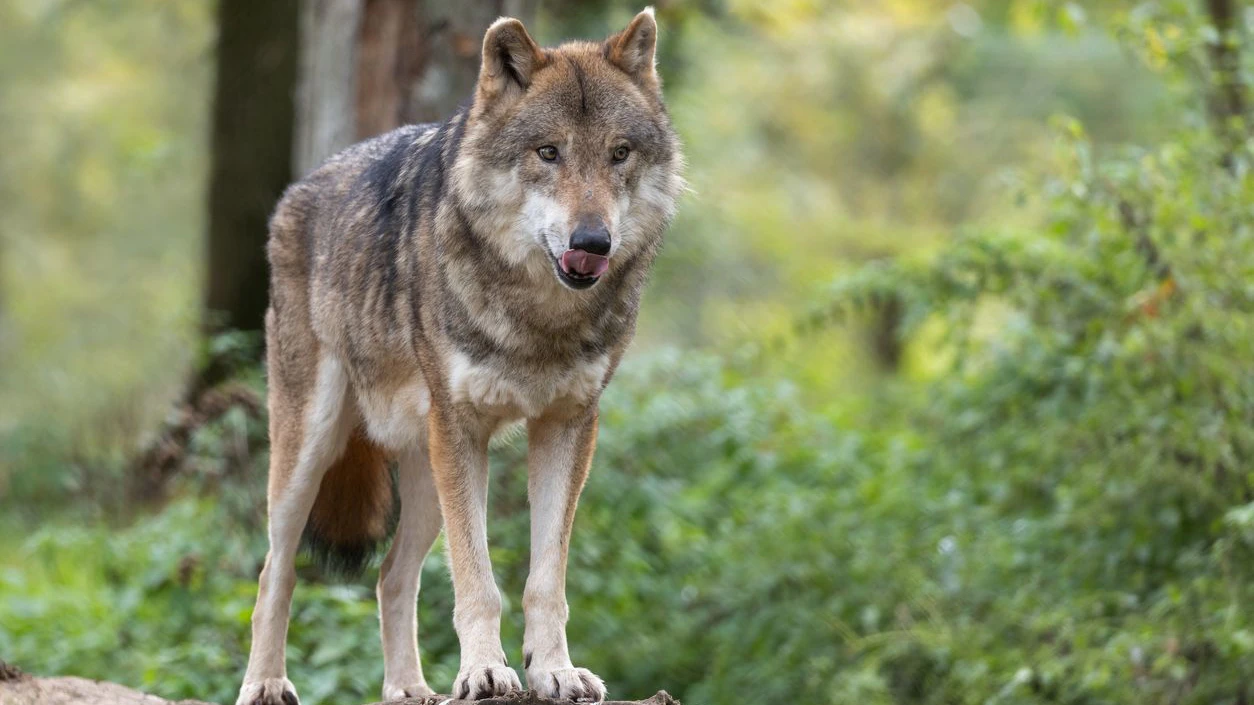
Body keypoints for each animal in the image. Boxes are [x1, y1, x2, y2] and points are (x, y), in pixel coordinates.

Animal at [236, 9, 683, 705]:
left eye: (619, 153)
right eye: (548, 152)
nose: (593, 241)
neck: (539, 320)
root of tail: (298, 190)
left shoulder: (568, 426)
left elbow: (544, 581)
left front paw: (554, 671)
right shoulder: (463, 429)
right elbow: (479, 581)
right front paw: (485, 672)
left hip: (425, 477)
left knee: (391, 575)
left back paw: (409, 690)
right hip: (312, 451)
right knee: (273, 571)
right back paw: (264, 683)